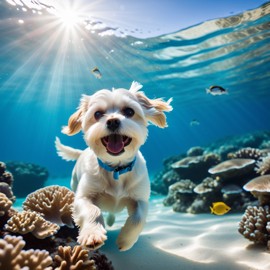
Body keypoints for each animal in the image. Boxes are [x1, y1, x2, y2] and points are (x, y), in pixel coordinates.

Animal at [55, 80, 172, 251]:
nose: (112, 121)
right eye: (97, 114)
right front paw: (93, 233)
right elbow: (93, 210)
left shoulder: (141, 200)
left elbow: (138, 219)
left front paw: (125, 240)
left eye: (129, 111)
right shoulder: (83, 197)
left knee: (113, 212)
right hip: (74, 183)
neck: (116, 169)